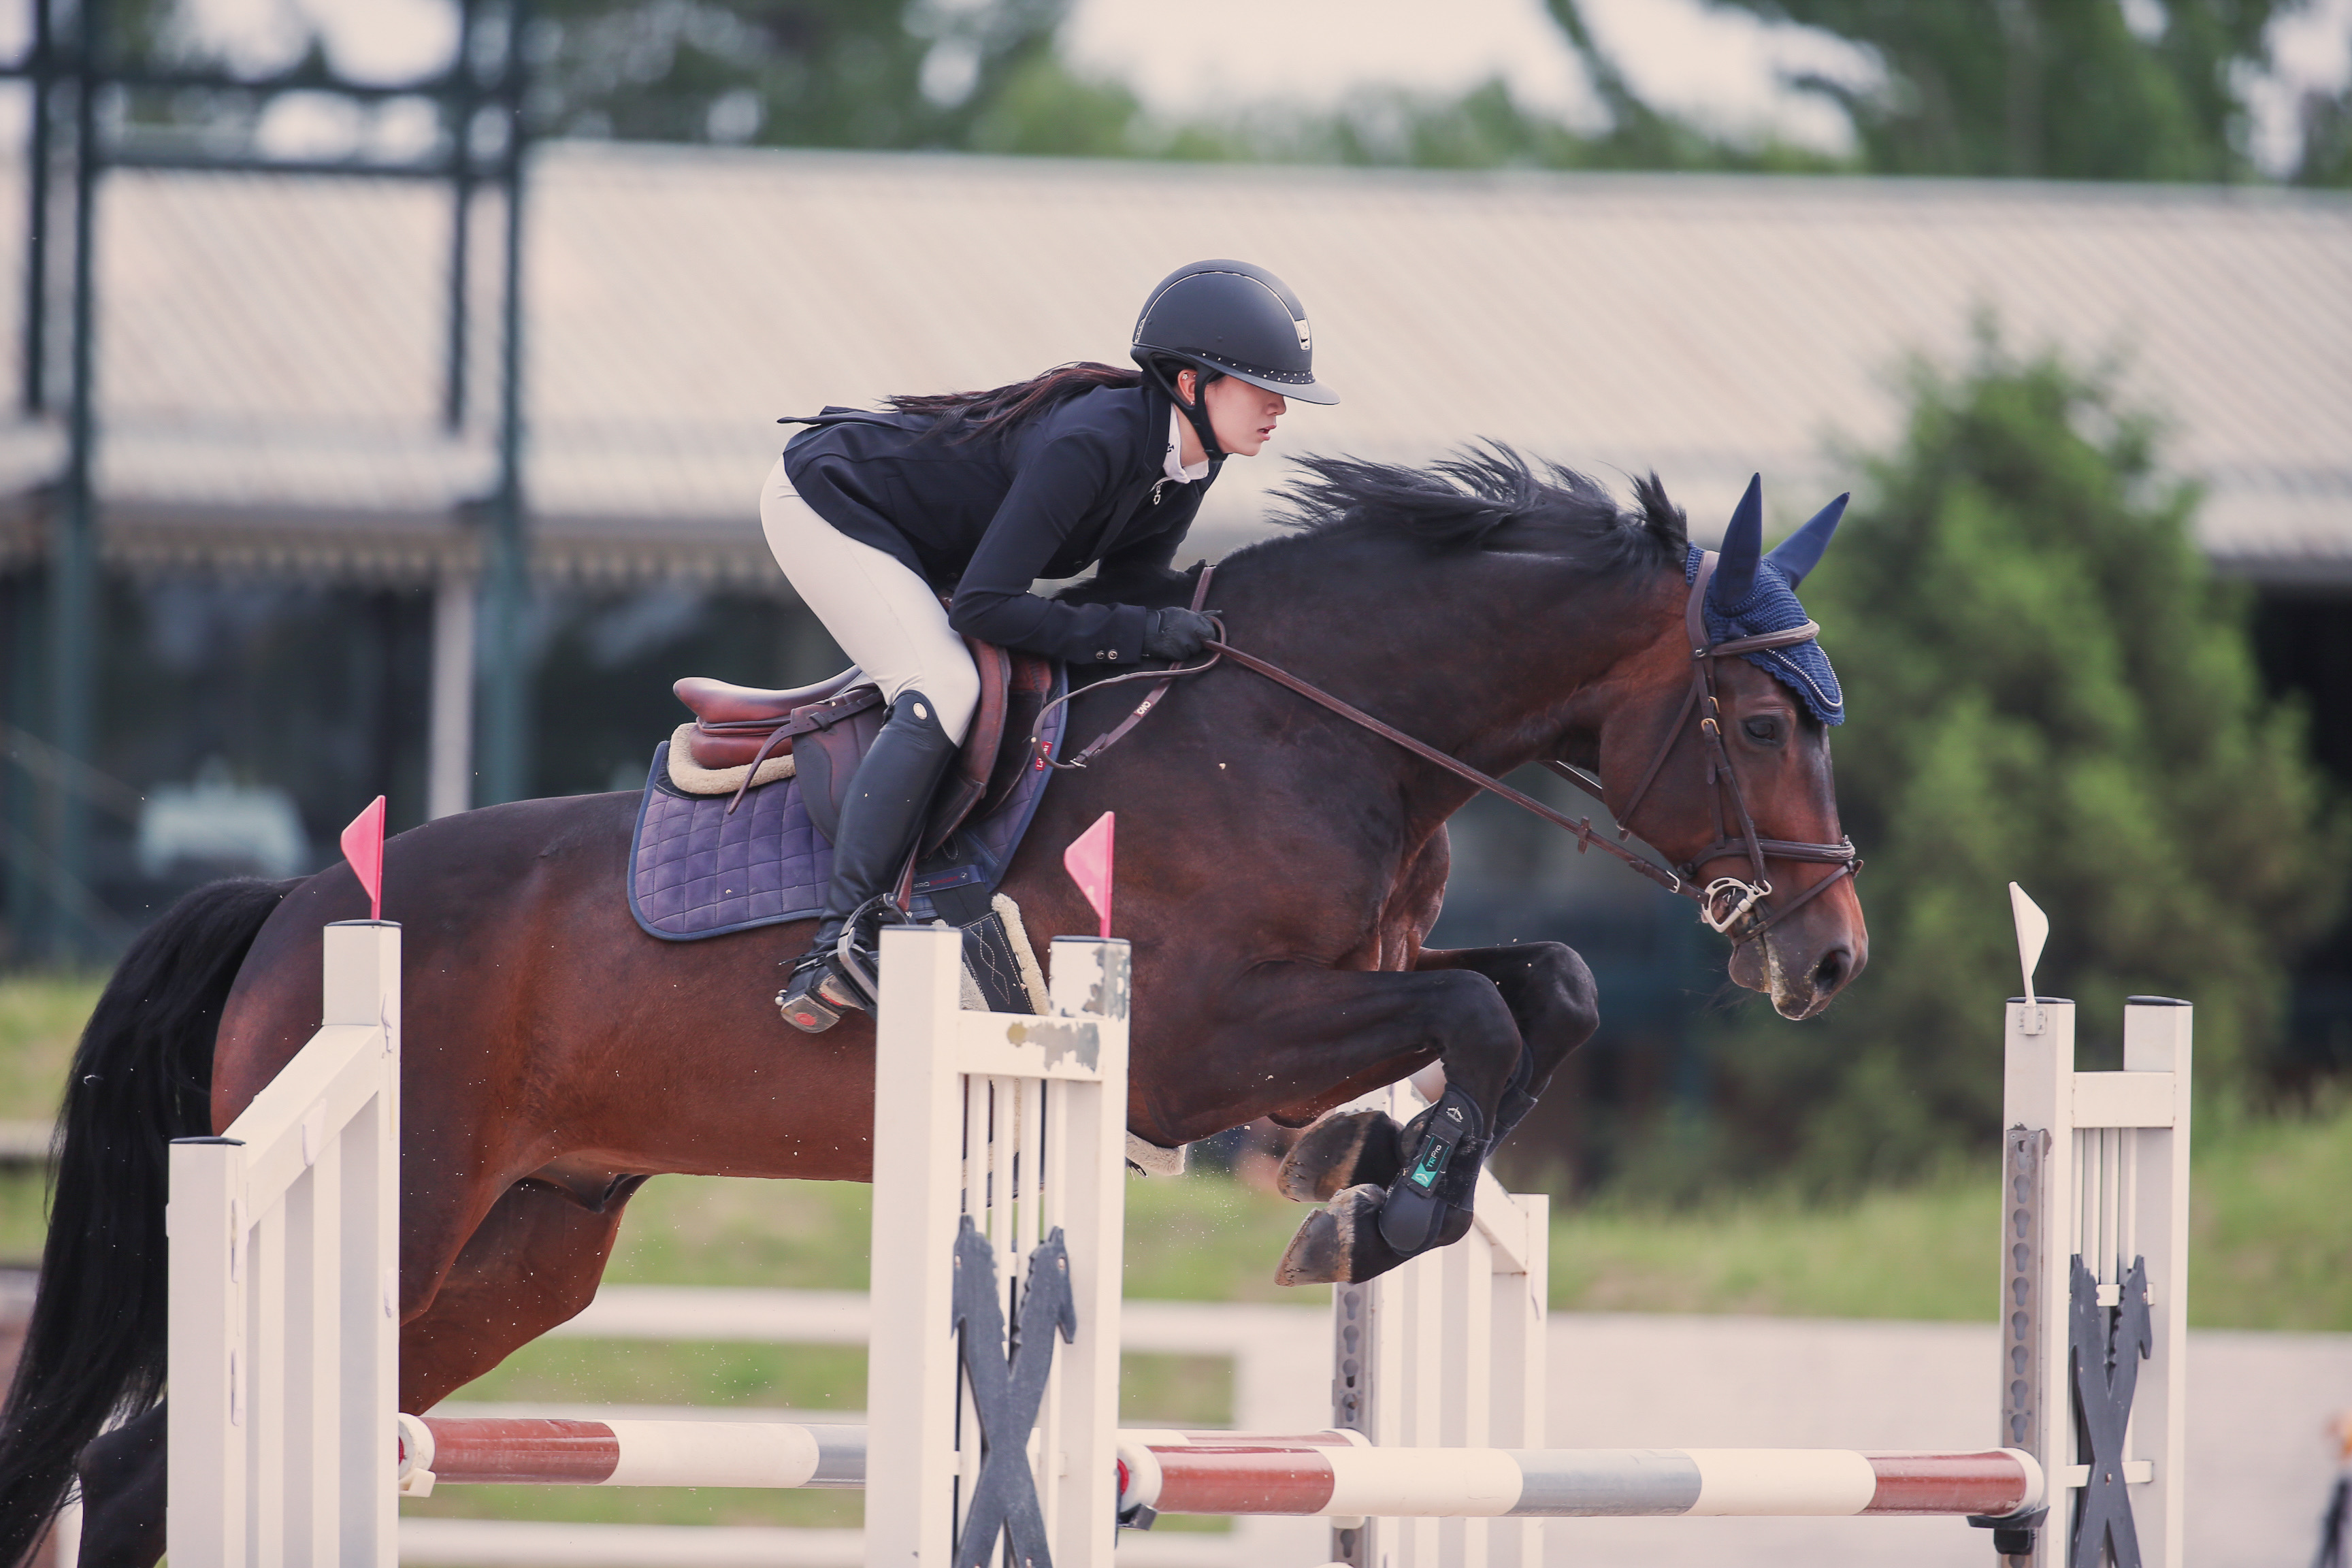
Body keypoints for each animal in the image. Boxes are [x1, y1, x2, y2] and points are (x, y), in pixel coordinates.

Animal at [0, 448, 1865, 1565]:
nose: (1828, 958)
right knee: (145, 1471)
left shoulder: (1322, 1009)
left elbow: (1539, 992)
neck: (1307, 728)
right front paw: (1367, 1211)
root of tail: (293, 903)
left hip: (519, 1250)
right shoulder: (1200, 1049)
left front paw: (1366, 1178)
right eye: (1766, 721)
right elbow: (1481, 1020)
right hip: (390, 1204)